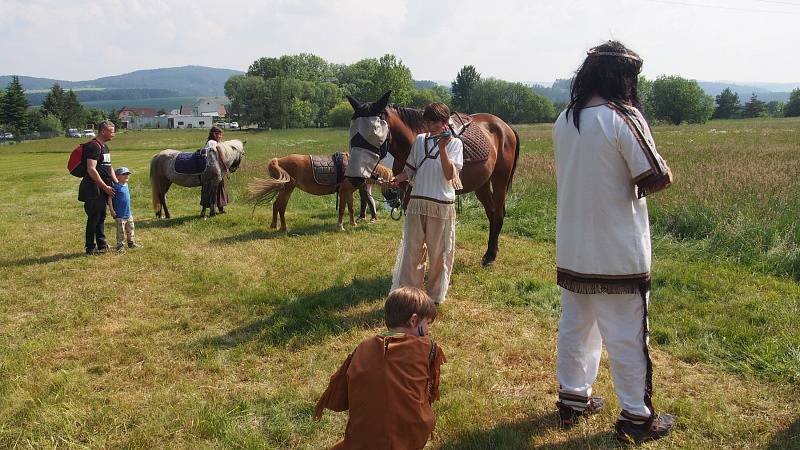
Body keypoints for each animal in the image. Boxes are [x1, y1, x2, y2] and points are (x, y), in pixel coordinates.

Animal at [344, 92, 520, 268]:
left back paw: (490, 256)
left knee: (498, 215)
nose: (355, 177)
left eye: (375, 133)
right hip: (482, 185)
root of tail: (505, 127)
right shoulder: (408, 196)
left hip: (500, 181)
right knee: (492, 214)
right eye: (352, 132)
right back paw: (490, 252)